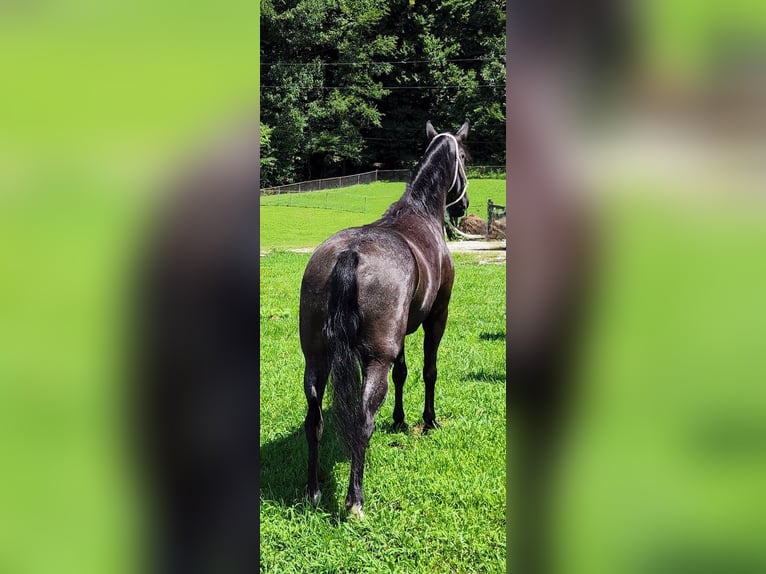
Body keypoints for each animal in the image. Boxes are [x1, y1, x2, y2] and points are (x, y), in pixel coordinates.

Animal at [298, 119, 468, 520]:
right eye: (466, 157)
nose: (466, 204)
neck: (419, 214)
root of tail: (350, 253)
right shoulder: (437, 317)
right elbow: (428, 370)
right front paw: (428, 420)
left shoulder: (401, 333)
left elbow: (403, 372)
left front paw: (400, 419)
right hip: (376, 359)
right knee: (362, 419)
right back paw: (354, 500)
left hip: (316, 359)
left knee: (315, 420)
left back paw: (313, 491)